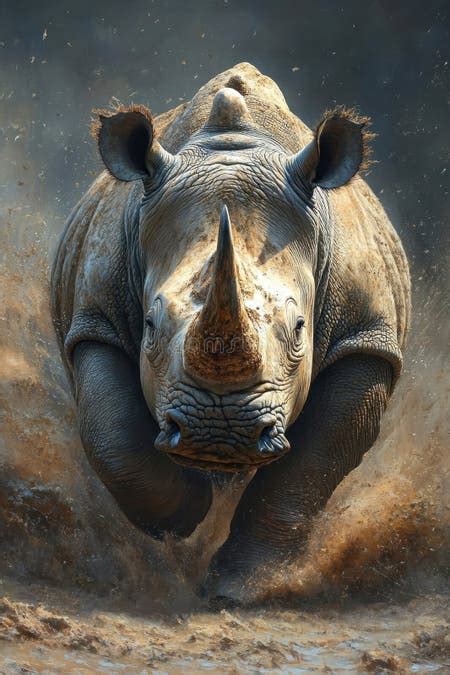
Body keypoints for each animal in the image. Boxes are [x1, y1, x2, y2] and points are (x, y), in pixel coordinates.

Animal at [51, 63, 410, 599]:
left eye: (299, 329)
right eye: (150, 326)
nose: (219, 433)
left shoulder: (365, 338)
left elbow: (311, 468)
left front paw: (238, 588)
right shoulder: (97, 319)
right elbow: (113, 438)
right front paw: (185, 515)